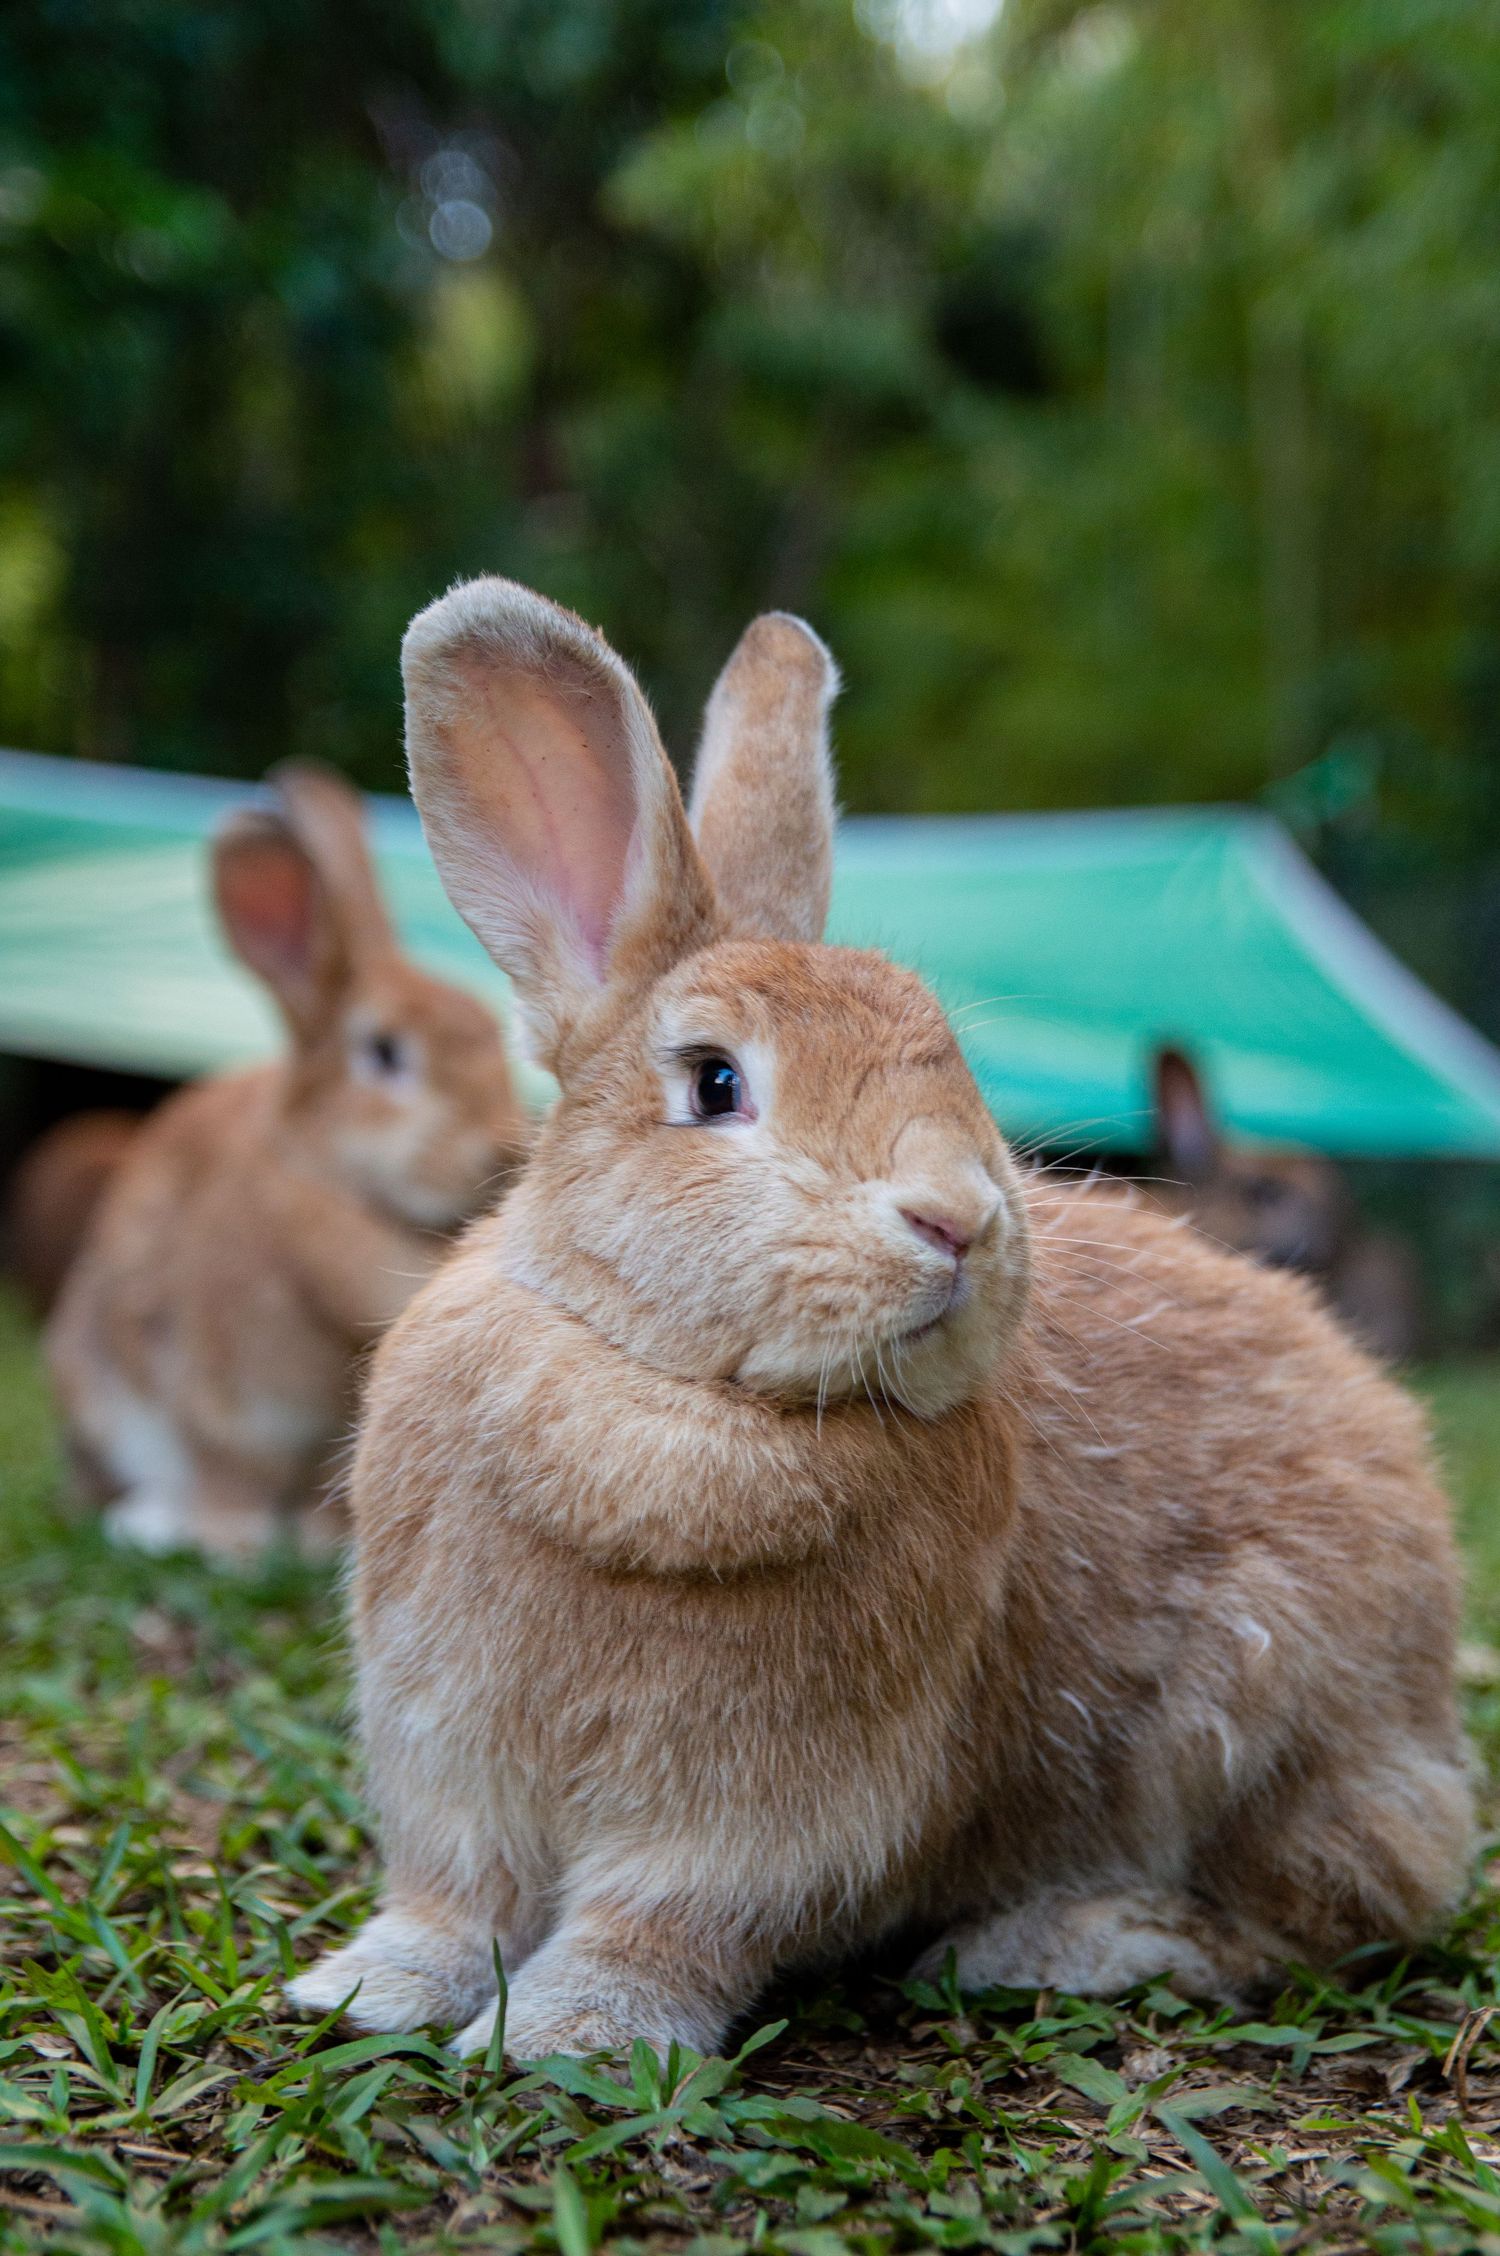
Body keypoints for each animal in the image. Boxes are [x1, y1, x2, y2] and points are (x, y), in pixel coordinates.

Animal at [47, 761, 529, 1559]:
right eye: (385, 1053)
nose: (497, 1145)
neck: (336, 1183)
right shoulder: (225, 1395)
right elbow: (229, 1469)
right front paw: (231, 1544)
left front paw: (319, 1544)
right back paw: (150, 1520)